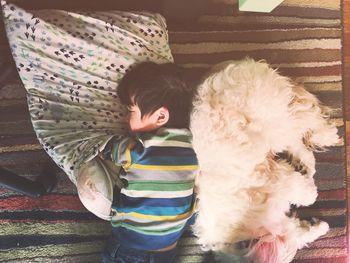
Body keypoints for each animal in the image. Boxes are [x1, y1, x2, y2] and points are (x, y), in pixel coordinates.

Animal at [190, 58, 340, 262]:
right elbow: (296, 232)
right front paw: (317, 228)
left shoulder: (273, 180)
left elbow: (303, 193)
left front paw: (311, 196)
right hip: (273, 131)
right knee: (296, 140)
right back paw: (307, 164)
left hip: (273, 118)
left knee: (304, 119)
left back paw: (326, 136)